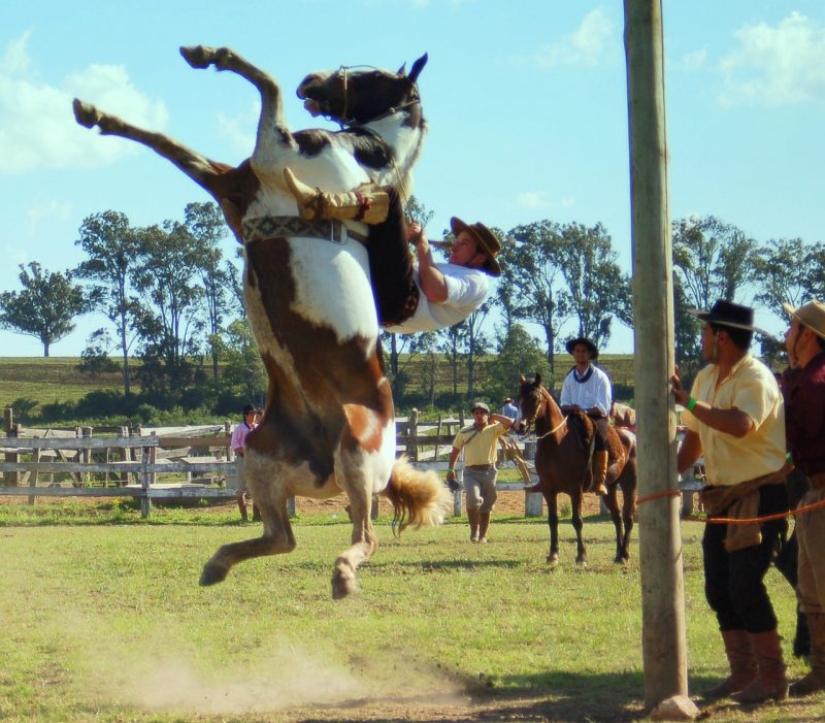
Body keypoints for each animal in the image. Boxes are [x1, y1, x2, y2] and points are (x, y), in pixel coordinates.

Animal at [75, 46, 450, 600]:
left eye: (374, 75)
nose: (312, 82)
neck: (366, 158)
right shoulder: (236, 183)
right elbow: (168, 144)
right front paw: (97, 114)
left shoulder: (272, 150)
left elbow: (264, 83)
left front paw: (208, 56)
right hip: (260, 457)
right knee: (282, 537)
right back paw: (218, 564)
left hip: (356, 458)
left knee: (365, 533)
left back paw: (343, 575)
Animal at [516, 376, 636, 568]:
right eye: (519, 397)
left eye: (534, 398)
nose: (519, 425)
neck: (557, 445)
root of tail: (630, 436)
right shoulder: (548, 490)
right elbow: (553, 520)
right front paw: (553, 554)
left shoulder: (575, 490)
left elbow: (577, 521)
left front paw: (581, 556)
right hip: (609, 488)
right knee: (617, 517)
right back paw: (618, 554)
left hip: (629, 484)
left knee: (628, 517)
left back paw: (624, 554)